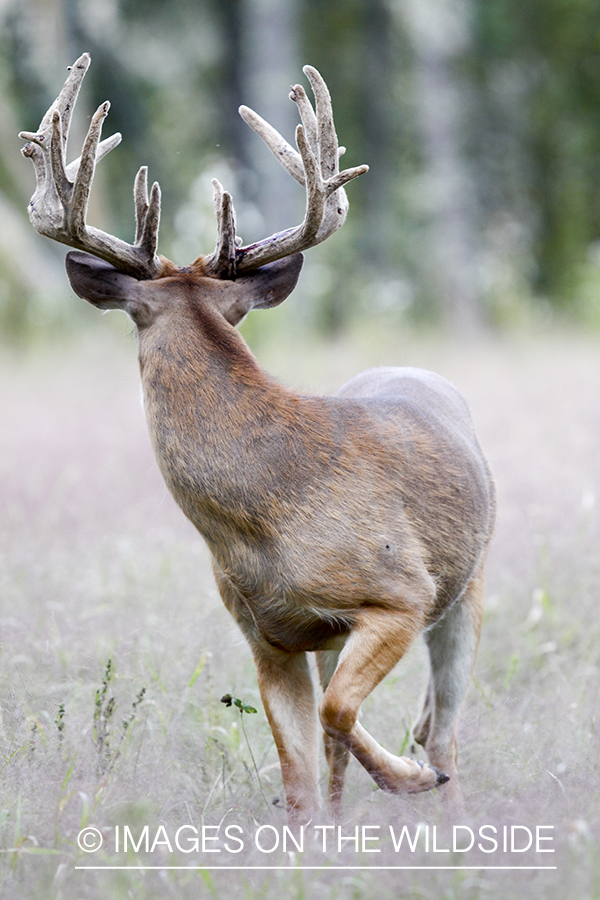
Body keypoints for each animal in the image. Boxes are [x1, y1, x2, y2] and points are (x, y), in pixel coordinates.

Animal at [21, 51, 494, 824]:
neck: (267, 515)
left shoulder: (402, 592)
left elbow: (338, 714)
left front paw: (408, 778)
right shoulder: (264, 634)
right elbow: (300, 773)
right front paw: (320, 829)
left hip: (467, 587)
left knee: (445, 726)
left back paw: (442, 797)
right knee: (368, 737)